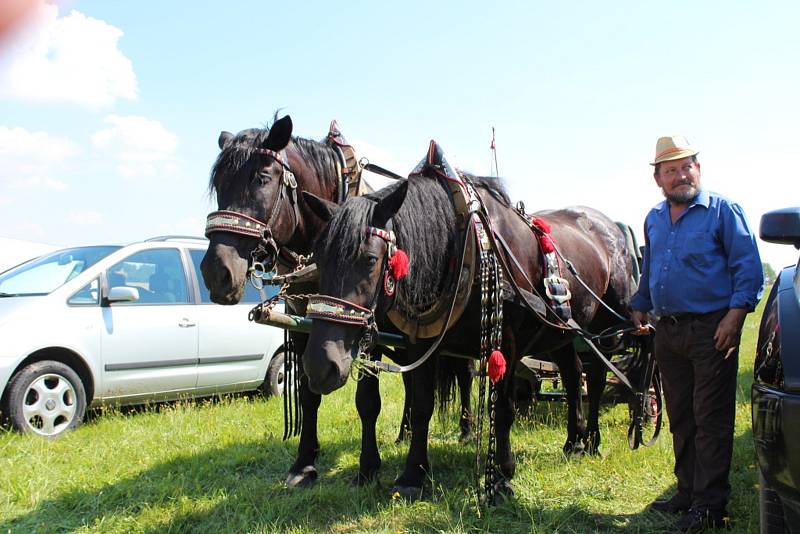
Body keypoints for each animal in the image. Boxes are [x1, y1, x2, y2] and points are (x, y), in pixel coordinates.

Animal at [202, 117, 476, 490]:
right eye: (218, 184)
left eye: (261, 178)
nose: (216, 272)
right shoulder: (306, 327)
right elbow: (308, 392)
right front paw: (304, 463)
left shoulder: (370, 332)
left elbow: (367, 400)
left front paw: (368, 466)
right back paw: (404, 432)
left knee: (466, 373)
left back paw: (466, 429)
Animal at [304, 152, 640, 502]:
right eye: (318, 259)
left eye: (370, 259)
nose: (320, 366)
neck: (464, 244)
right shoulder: (420, 342)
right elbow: (422, 406)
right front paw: (413, 474)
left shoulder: (506, 340)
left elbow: (503, 408)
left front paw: (502, 477)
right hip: (559, 332)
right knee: (574, 374)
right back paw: (574, 441)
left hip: (604, 332)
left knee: (597, 379)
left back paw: (592, 440)